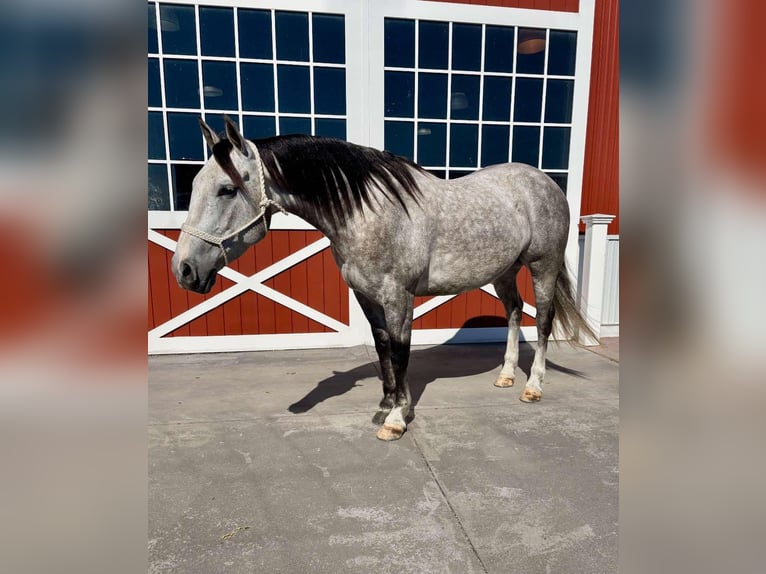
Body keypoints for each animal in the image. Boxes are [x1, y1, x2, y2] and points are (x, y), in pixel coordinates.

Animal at [172, 115, 595, 441]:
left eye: (227, 189)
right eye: (192, 186)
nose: (184, 270)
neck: (367, 212)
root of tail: (544, 181)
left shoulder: (397, 296)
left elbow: (401, 352)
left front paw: (395, 421)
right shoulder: (367, 296)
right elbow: (382, 348)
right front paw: (389, 404)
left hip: (543, 265)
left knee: (542, 320)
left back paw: (532, 387)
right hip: (503, 271)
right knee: (514, 311)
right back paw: (506, 376)